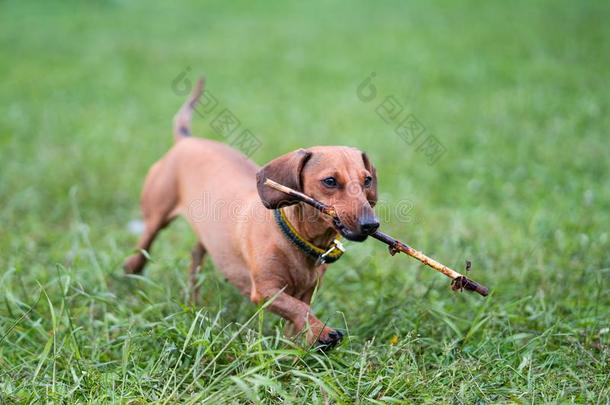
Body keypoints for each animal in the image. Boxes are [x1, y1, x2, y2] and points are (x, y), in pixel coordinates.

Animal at [124, 78, 378, 348]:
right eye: (330, 181)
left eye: (367, 180)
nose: (371, 225)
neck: (293, 237)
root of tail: (185, 140)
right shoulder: (266, 291)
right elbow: (299, 309)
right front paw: (323, 332)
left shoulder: (306, 290)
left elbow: (299, 315)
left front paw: (302, 341)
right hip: (156, 216)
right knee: (144, 245)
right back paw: (131, 271)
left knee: (195, 256)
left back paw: (193, 300)